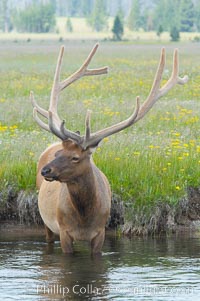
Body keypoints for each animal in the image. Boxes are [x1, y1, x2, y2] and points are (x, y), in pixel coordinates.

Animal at [29, 42, 188, 253]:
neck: (84, 218)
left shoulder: (100, 232)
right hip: (46, 222)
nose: (46, 170)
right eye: (58, 153)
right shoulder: (63, 231)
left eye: (75, 157)